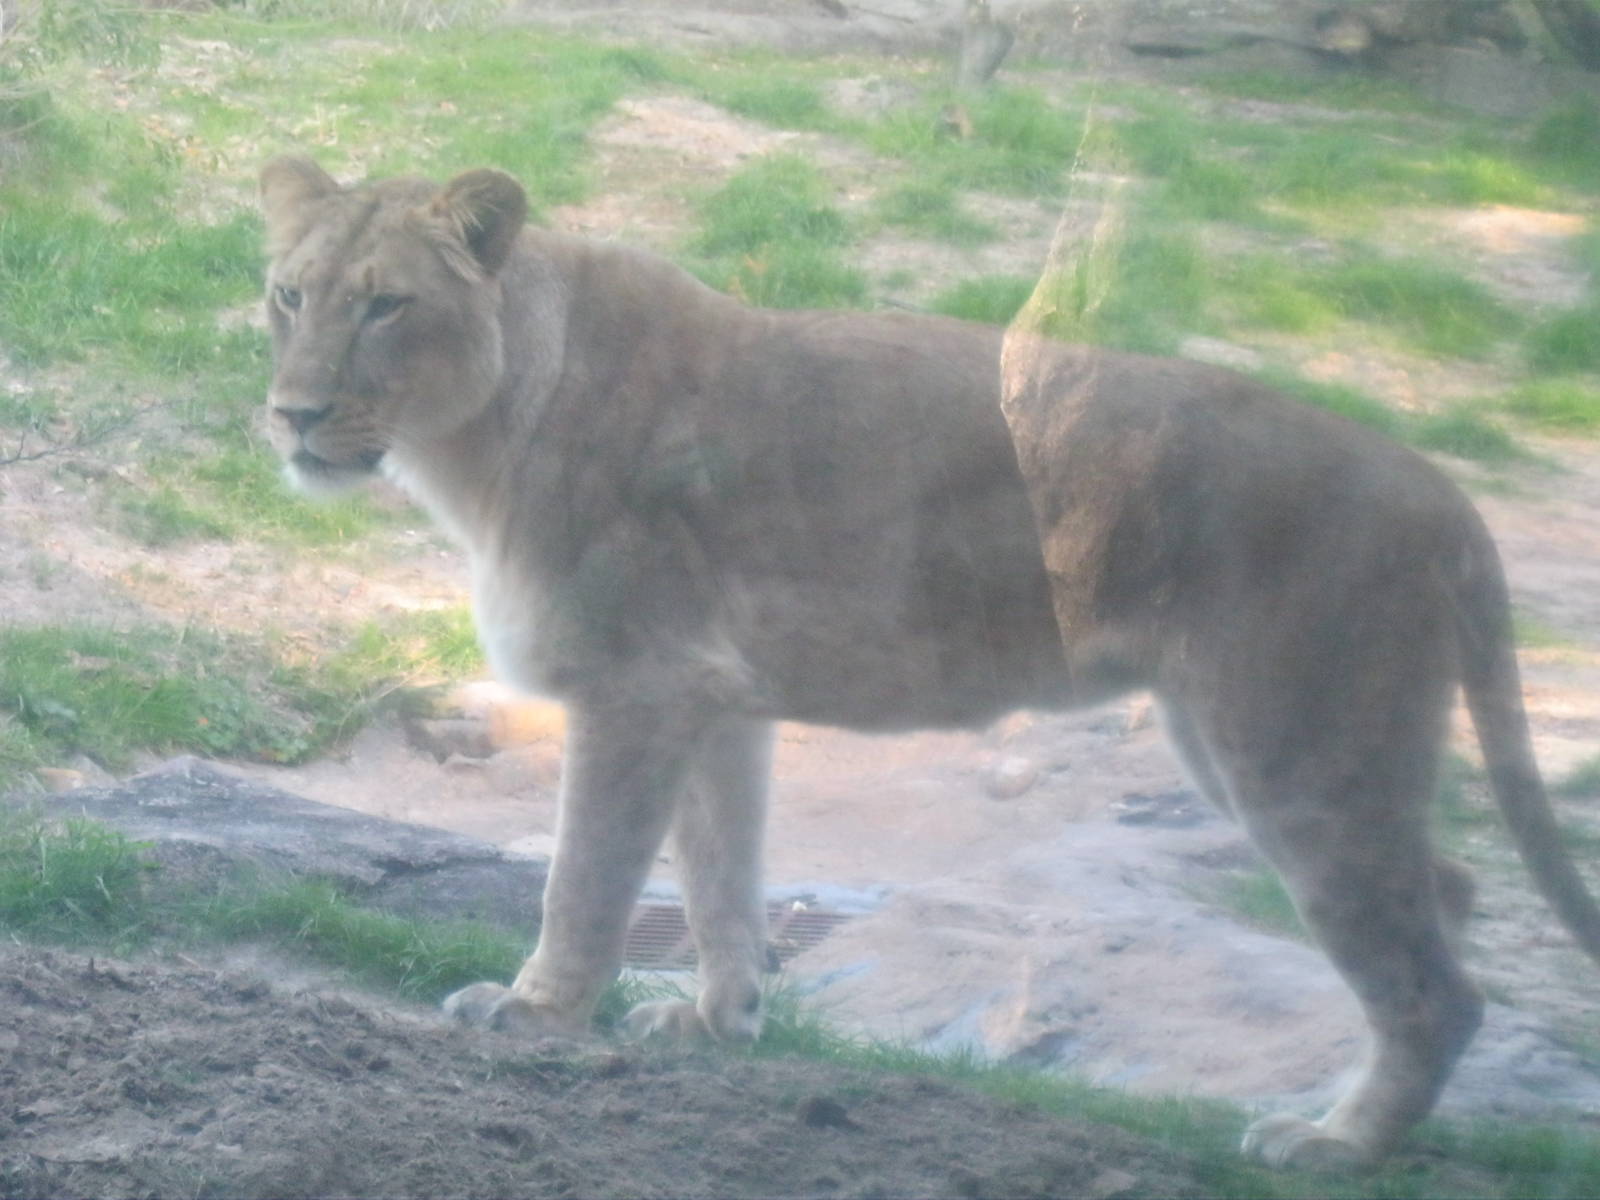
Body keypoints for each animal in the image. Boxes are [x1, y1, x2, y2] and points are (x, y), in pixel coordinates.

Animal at [258, 156, 1600, 1169]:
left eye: (384, 307)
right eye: (286, 295)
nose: (292, 416)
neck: (476, 436)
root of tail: (1442, 491)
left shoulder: (637, 684)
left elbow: (586, 874)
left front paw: (535, 1013)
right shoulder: (714, 695)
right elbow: (717, 872)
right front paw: (717, 1019)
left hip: (1292, 747)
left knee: (1431, 977)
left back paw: (1331, 1145)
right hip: (1273, 746)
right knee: (1445, 896)